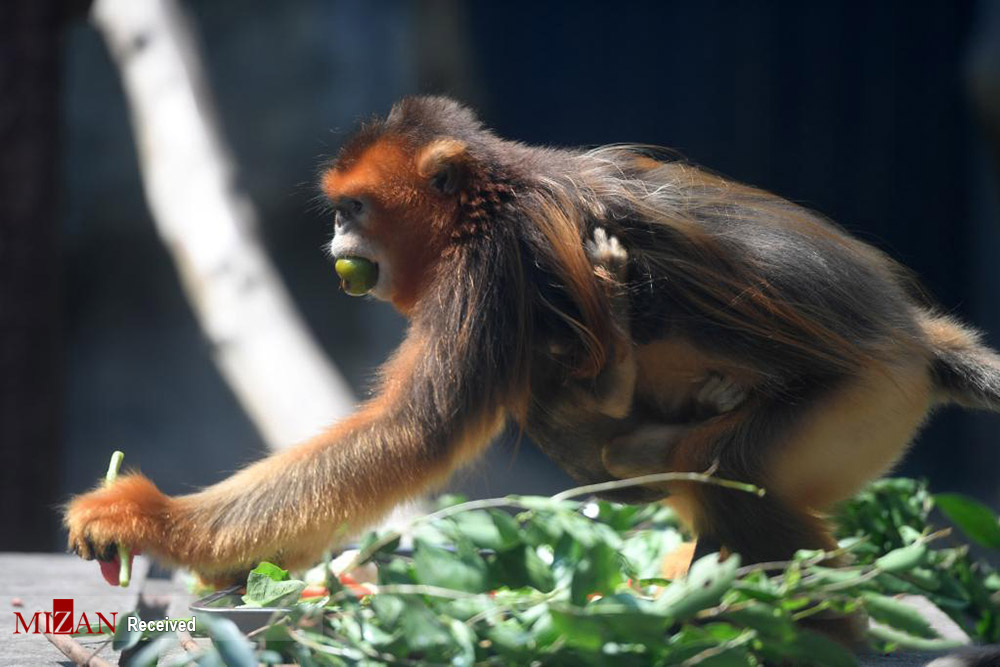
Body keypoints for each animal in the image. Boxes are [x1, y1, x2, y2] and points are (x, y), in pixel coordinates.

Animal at [64, 98, 1000, 588]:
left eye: (353, 209)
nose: (334, 241)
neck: (495, 190)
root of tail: (913, 333)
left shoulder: (492, 265)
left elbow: (411, 435)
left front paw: (147, 517)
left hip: (863, 399)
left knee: (730, 473)